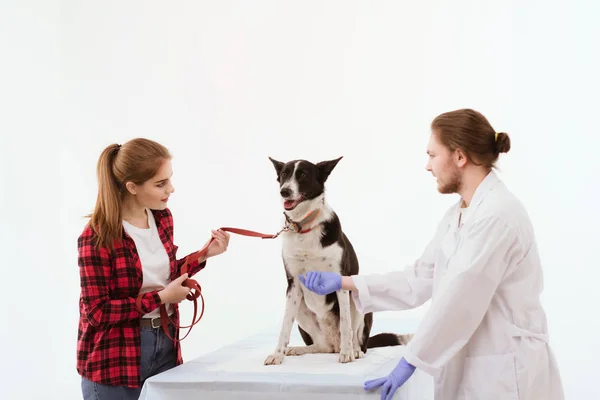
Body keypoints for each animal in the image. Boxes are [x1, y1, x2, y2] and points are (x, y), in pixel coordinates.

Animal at [266, 156, 412, 366]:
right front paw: (278, 354)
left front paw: (347, 353)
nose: (284, 191)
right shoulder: (293, 285)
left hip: (357, 298)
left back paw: (354, 350)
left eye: (303, 175)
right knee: (322, 346)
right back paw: (300, 349)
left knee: (356, 338)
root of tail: (333, 343)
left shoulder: (340, 280)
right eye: (284, 174)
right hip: (302, 308)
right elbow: (285, 324)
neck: (305, 227)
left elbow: (345, 322)